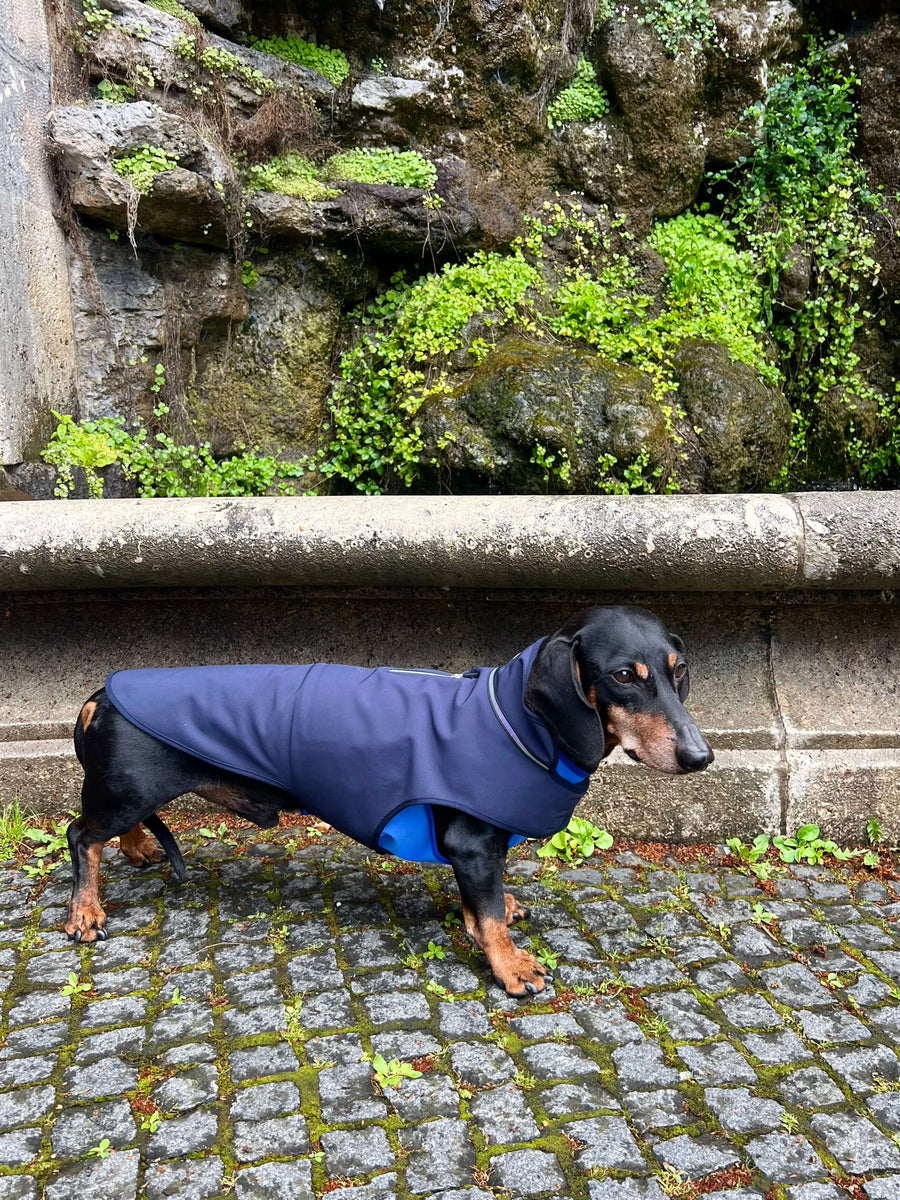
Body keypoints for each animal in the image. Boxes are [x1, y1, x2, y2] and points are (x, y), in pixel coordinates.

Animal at [65, 609, 710, 993]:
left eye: (679, 670)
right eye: (624, 675)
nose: (700, 757)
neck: (518, 720)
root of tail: (102, 693)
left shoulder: (472, 850)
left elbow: (482, 906)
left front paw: (491, 923)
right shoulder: (472, 843)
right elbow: (488, 914)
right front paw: (510, 965)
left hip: (126, 793)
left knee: (108, 831)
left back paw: (139, 850)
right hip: (128, 791)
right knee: (81, 837)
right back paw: (84, 913)